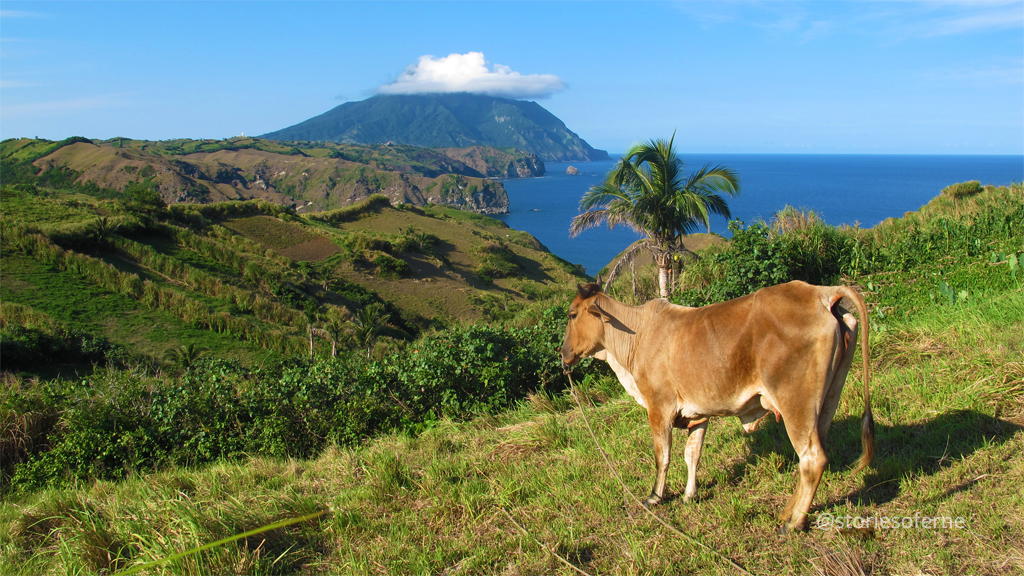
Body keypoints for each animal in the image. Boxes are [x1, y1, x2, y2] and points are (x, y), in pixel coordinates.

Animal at [561, 278, 872, 528]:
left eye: (572, 314)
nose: (563, 353)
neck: (637, 334)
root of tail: (821, 293)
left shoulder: (659, 408)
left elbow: (663, 456)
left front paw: (655, 497)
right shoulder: (698, 414)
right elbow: (692, 455)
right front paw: (689, 495)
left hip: (797, 405)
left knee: (812, 459)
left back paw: (793, 523)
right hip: (827, 401)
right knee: (815, 453)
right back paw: (787, 512)